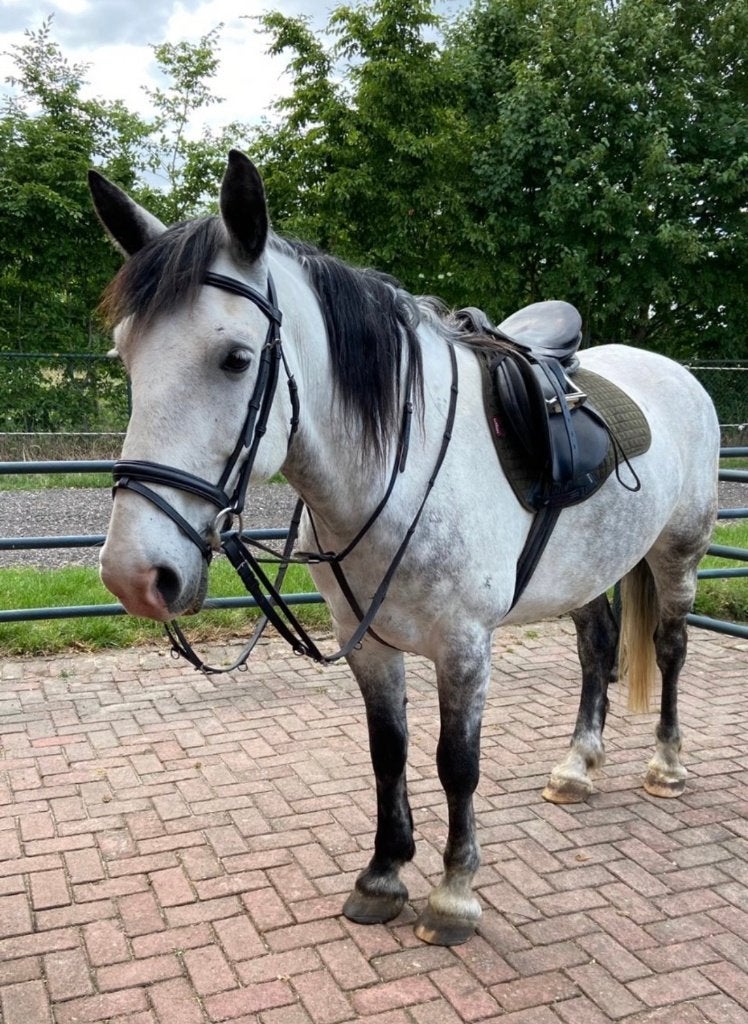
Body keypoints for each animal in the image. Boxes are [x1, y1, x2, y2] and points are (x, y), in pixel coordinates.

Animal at [88, 150, 719, 946]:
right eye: (125, 358)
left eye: (234, 359)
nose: (135, 576)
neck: (401, 464)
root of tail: (674, 373)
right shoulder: (366, 644)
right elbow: (387, 751)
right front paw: (383, 875)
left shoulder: (464, 646)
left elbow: (457, 764)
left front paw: (454, 895)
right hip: (587, 573)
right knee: (597, 648)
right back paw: (578, 765)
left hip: (679, 556)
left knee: (669, 649)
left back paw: (666, 763)